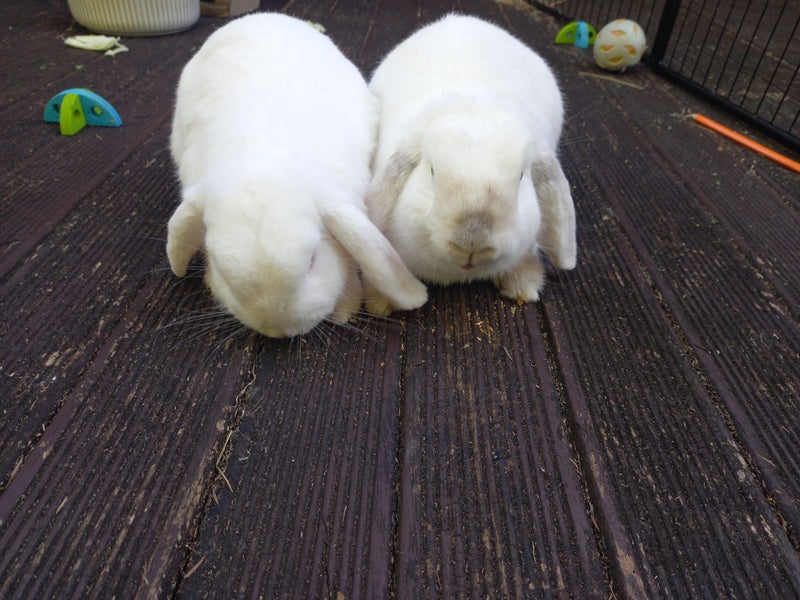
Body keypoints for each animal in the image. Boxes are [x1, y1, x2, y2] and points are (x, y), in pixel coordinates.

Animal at [167, 13, 427, 338]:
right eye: (220, 268)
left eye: (312, 260)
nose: (278, 329)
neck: (264, 165)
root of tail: (262, 16)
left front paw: (345, 311)